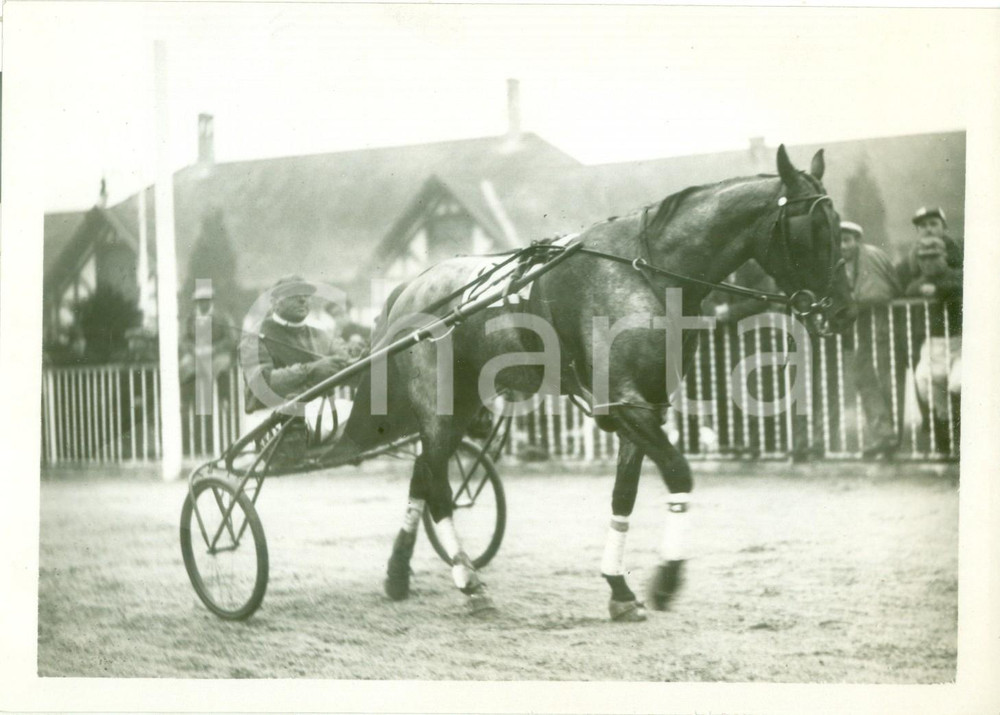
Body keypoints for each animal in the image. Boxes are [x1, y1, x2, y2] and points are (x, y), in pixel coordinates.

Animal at [330, 145, 856, 621]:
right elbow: (679, 473)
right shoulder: (625, 404)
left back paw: (399, 573)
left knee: (423, 472)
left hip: (463, 404)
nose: (843, 309)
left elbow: (624, 495)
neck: (645, 271)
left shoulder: (647, 407)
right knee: (437, 483)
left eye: (838, 227)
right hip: (440, 405)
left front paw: (619, 587)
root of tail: (411, 285)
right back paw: (470, 583)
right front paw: (666, 580)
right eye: (815, 228)